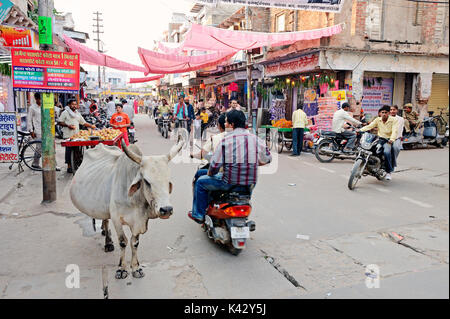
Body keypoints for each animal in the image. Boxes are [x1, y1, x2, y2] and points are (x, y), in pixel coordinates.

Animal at [70, 134, 185, 280]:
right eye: (147, 181)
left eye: (168, 181)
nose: (166, 210)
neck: (136, 201)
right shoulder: (116, 219)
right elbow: (123, 242)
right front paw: (121, 269)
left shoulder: (139, 221)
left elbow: (134, 243)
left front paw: (136, 268)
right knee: (106, 221)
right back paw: (108, 242)